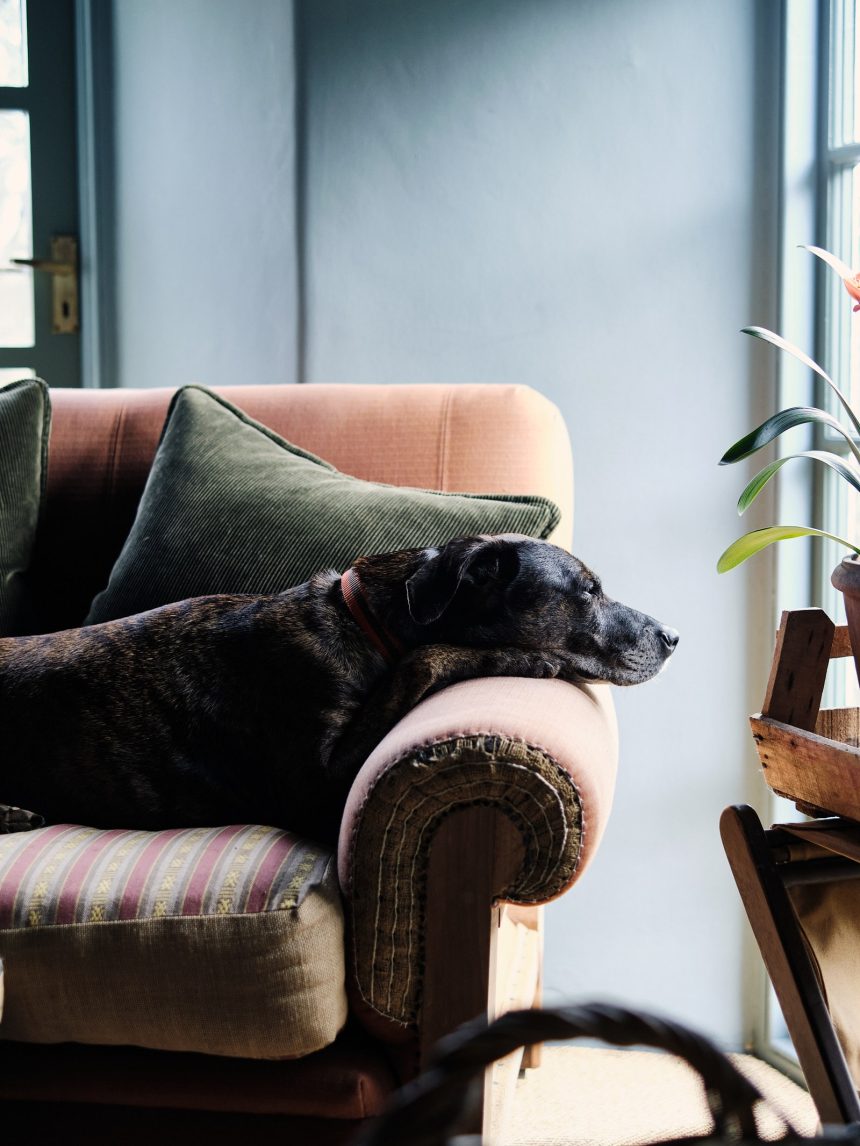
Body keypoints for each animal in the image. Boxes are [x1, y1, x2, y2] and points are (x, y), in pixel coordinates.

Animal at [0, 534, 678, 843]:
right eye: (587, 590)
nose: (673, 636)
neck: (367, 622)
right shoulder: (317, 781)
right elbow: (428, 658)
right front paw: (526, 657)